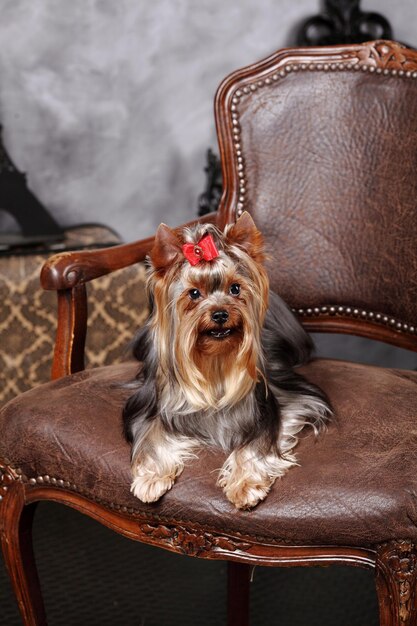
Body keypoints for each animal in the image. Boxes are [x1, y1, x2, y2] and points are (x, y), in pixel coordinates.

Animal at [122, 213, 330, 508]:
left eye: (235, 288)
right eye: (194, 293)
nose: (220, 314)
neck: (215, 359)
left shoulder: (280, 400)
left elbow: (257, 441)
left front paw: (245, 484)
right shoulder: (151, 405)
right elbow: (150, 435)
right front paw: (151, 479)